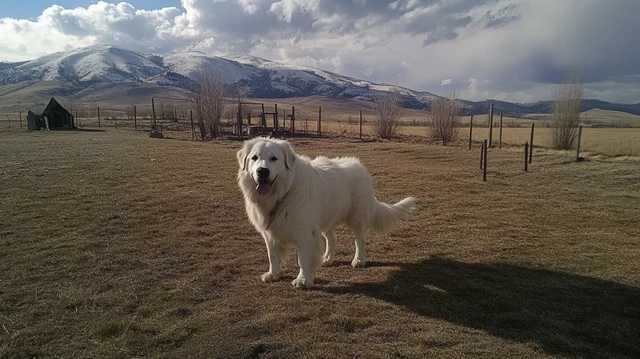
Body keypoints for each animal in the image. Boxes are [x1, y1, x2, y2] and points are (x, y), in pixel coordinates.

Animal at [238, 138, 418, 290]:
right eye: (254, 158)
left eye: (274, 158)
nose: (262, 171)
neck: (283, 192)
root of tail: (361, 167)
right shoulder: (269, 233)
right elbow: (272, 256)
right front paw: (273, 275)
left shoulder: (304, 233)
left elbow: (303, 259)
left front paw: (303, 281)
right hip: (325, 219)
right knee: (332, 239)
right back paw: (327, 259)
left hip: (357, 218)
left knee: (359, 241)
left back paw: (359, 260)